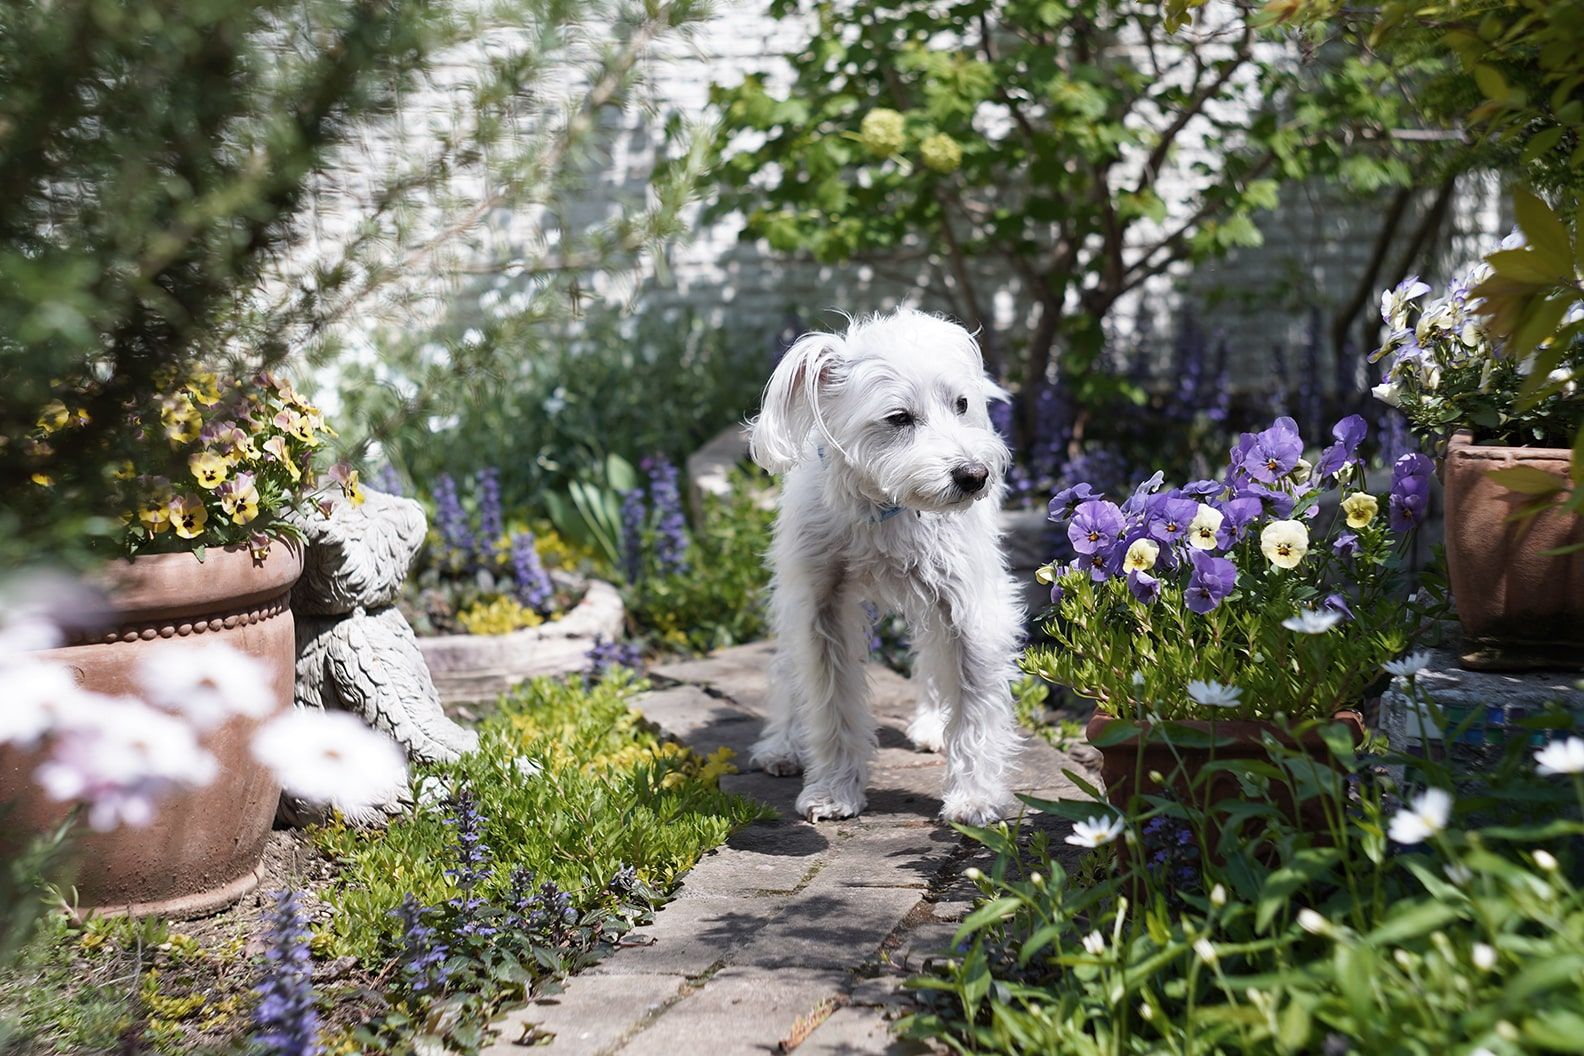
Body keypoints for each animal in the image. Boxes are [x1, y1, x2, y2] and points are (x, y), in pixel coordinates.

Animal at [744, 305, 1020, 823]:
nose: (975, 476)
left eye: (961, 404)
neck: (885, 505)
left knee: (933, 655)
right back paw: (782, 744)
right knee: (788, 668)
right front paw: (833, 790)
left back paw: (933, 723)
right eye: (898, 417)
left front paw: (975, 798)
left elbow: (975, 705)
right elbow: (831, 704)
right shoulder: (821, 608)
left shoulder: (968, 604)